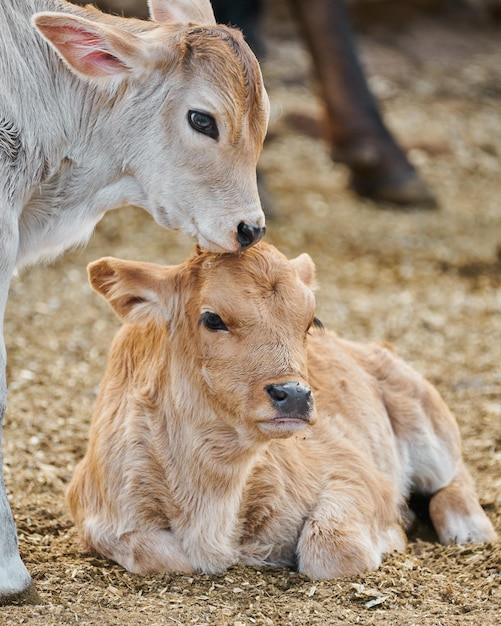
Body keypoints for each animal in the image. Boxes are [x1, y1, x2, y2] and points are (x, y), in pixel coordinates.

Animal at [67, 241, 496, 576]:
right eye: (212, 318)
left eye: (311, 320)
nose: (293, 394)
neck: (215, 488)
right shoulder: (99, 512)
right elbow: (165, 557)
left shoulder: (354, 470)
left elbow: (333, 550)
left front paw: (392, 532)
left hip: (428, 424)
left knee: (455, 475)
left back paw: (469, 528)